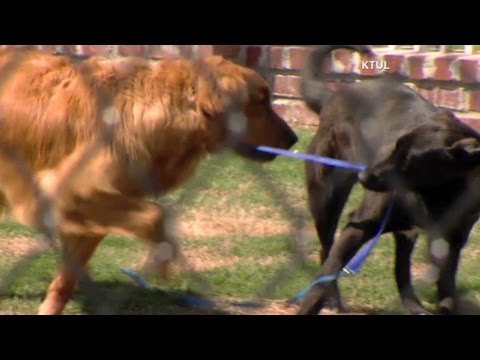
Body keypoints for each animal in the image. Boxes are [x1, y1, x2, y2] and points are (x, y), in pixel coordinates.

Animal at [298, 45, 478, 316]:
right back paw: (334, 300)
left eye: (410, 159)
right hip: (325, 199)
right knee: (325, 251)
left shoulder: (452, 241)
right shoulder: (358, 226)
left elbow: (447, 294)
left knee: (401, 269)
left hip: (405, 233)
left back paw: (413, 306)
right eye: (395, 146)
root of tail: (333, 96)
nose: (362, 175)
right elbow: (324, 278)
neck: (436, 195)